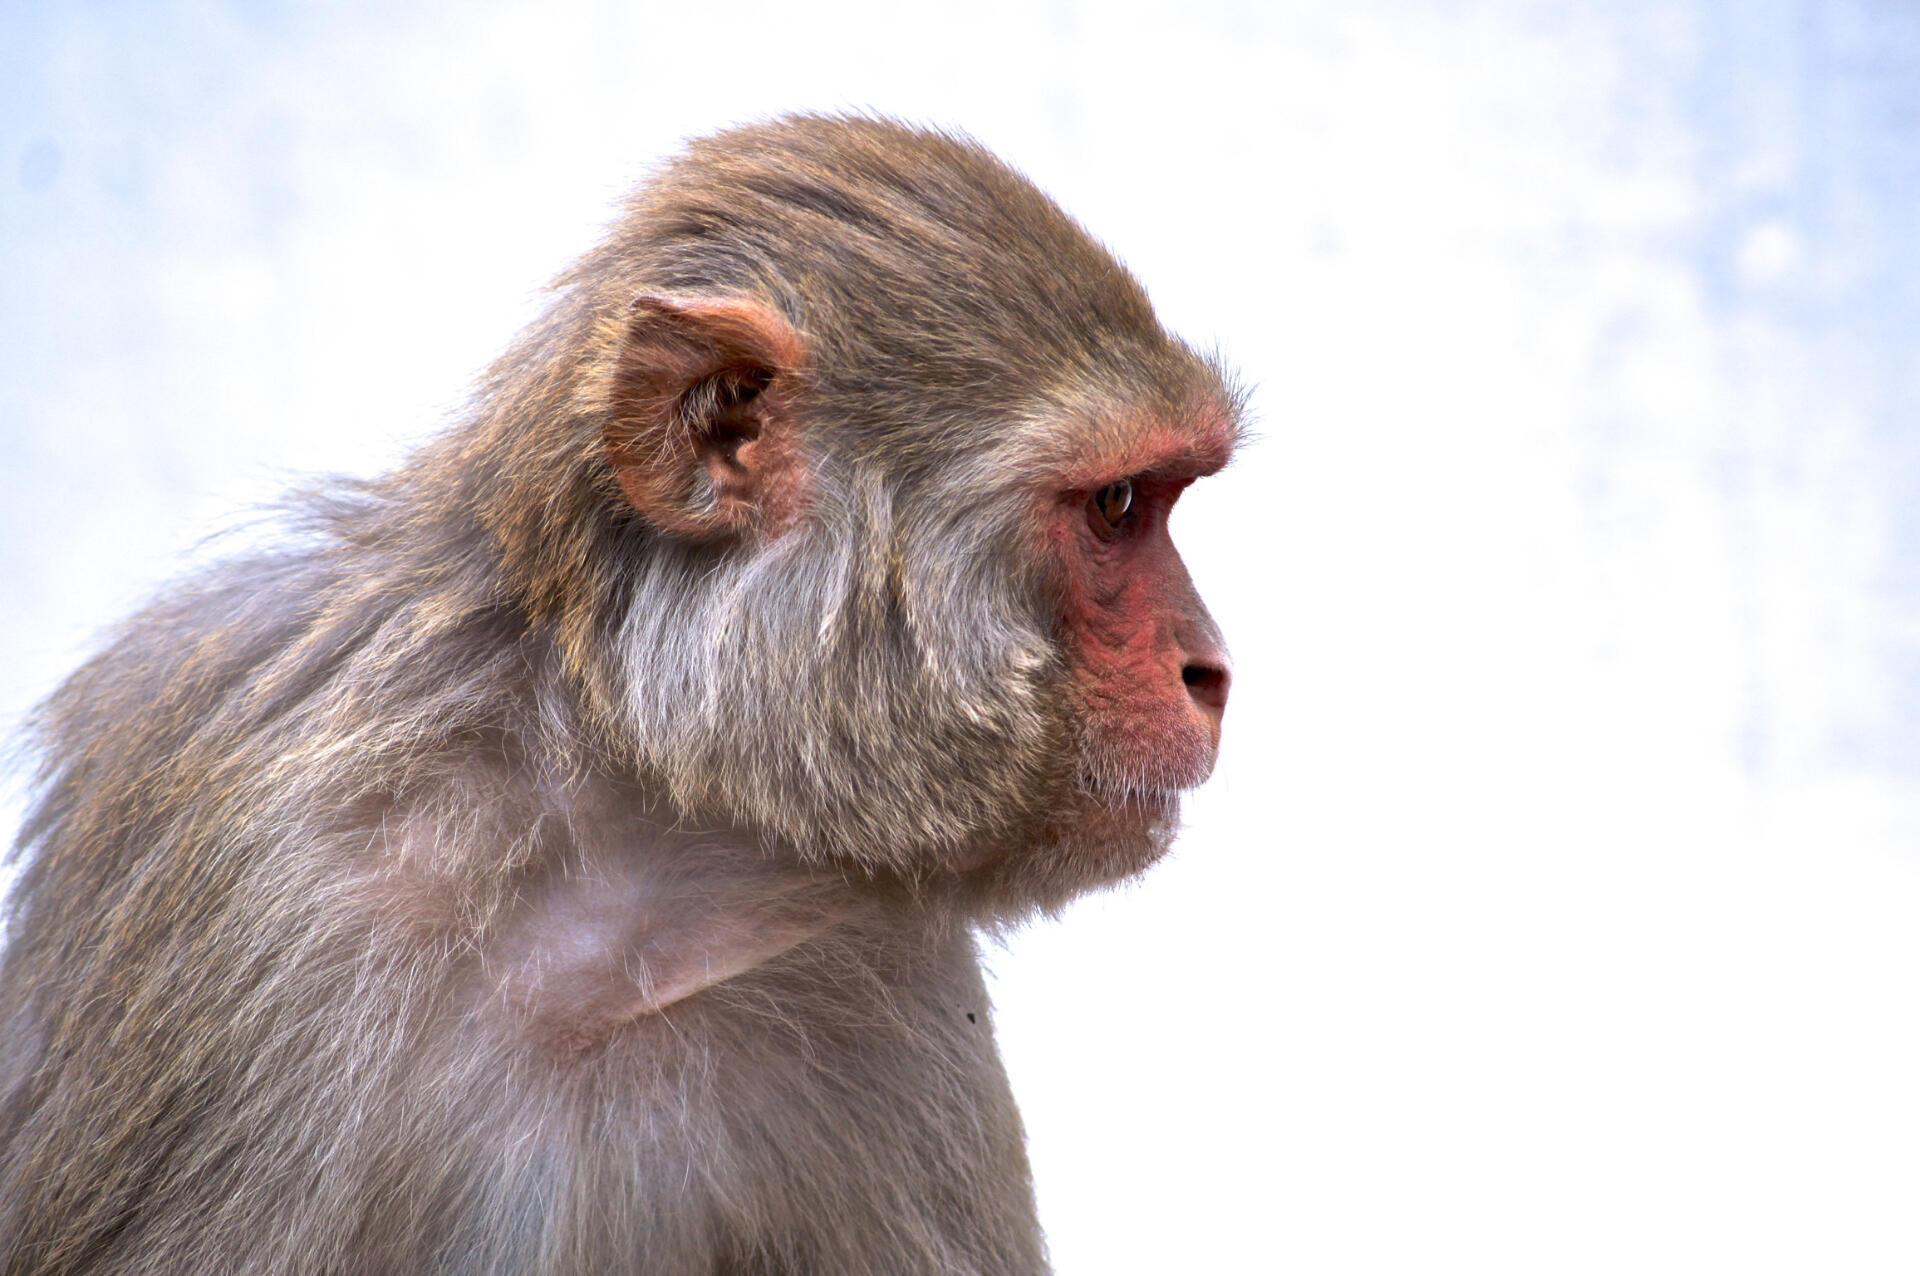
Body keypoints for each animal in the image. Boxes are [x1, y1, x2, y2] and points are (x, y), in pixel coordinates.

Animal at [0, 114, 1238, 1275]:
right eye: (1118, 506)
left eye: (1162, 496)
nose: (1214, 670)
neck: (617, 819)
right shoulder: (263, 872)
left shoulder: (892, 977)